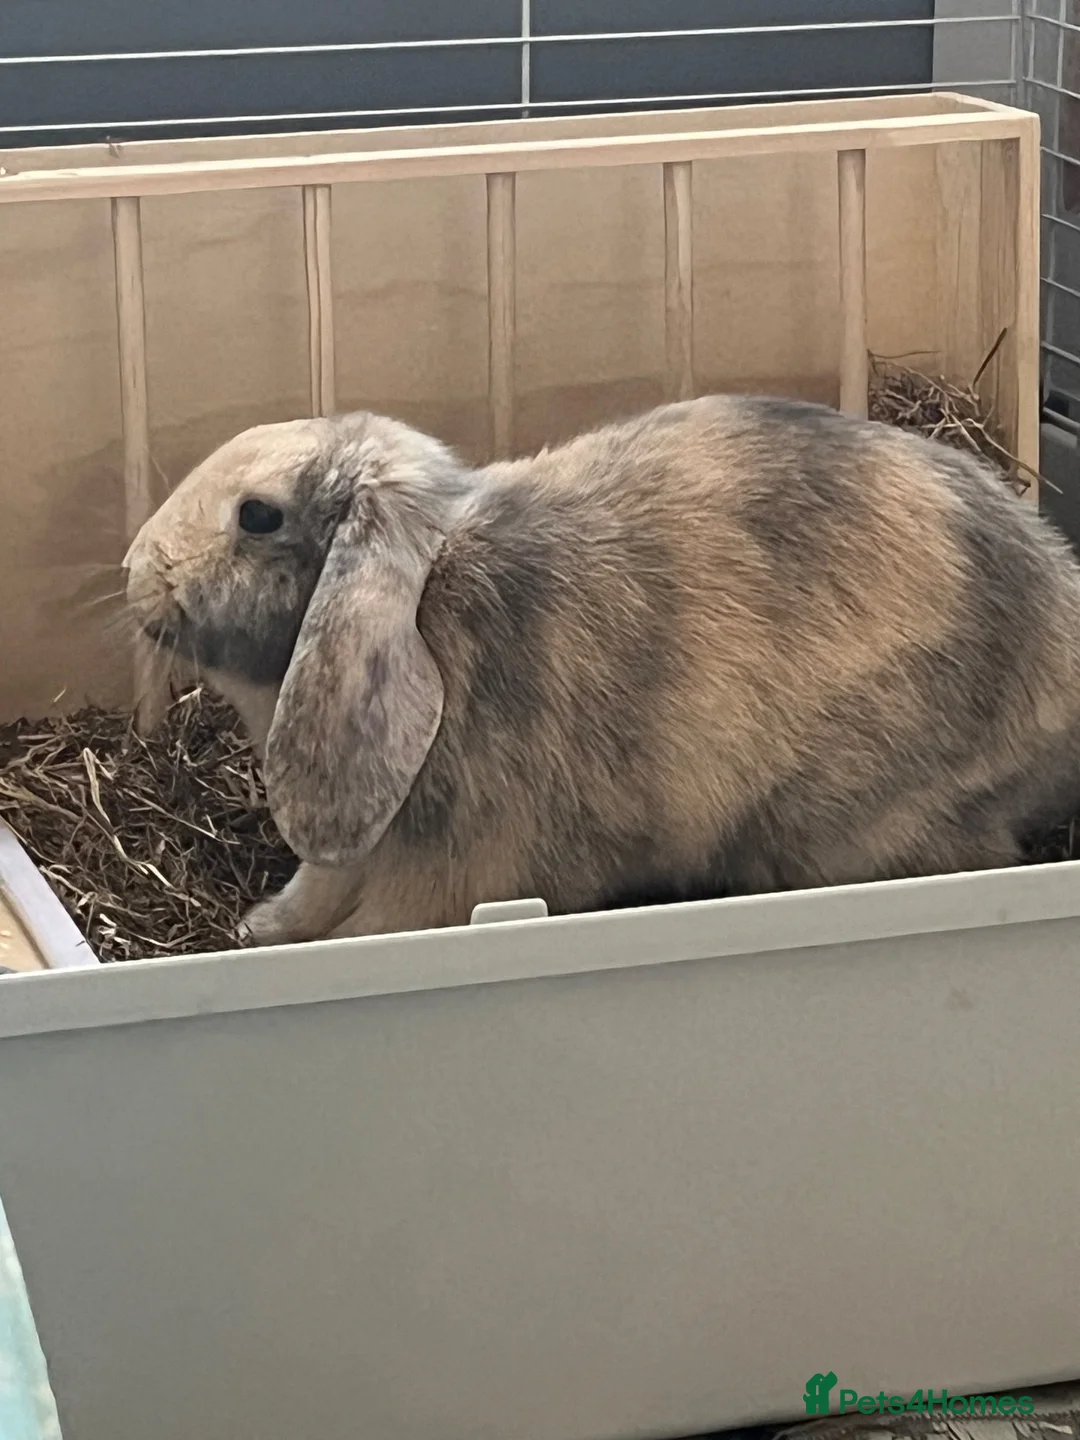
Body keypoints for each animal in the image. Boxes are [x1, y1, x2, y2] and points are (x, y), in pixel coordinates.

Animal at [123, 395, 1080, 948]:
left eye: (257, 515)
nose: (137, 568)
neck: (430, 605)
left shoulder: (457, 868)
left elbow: (390, 923)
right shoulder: (353, 856)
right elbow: (311, 894)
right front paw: (260, 931)